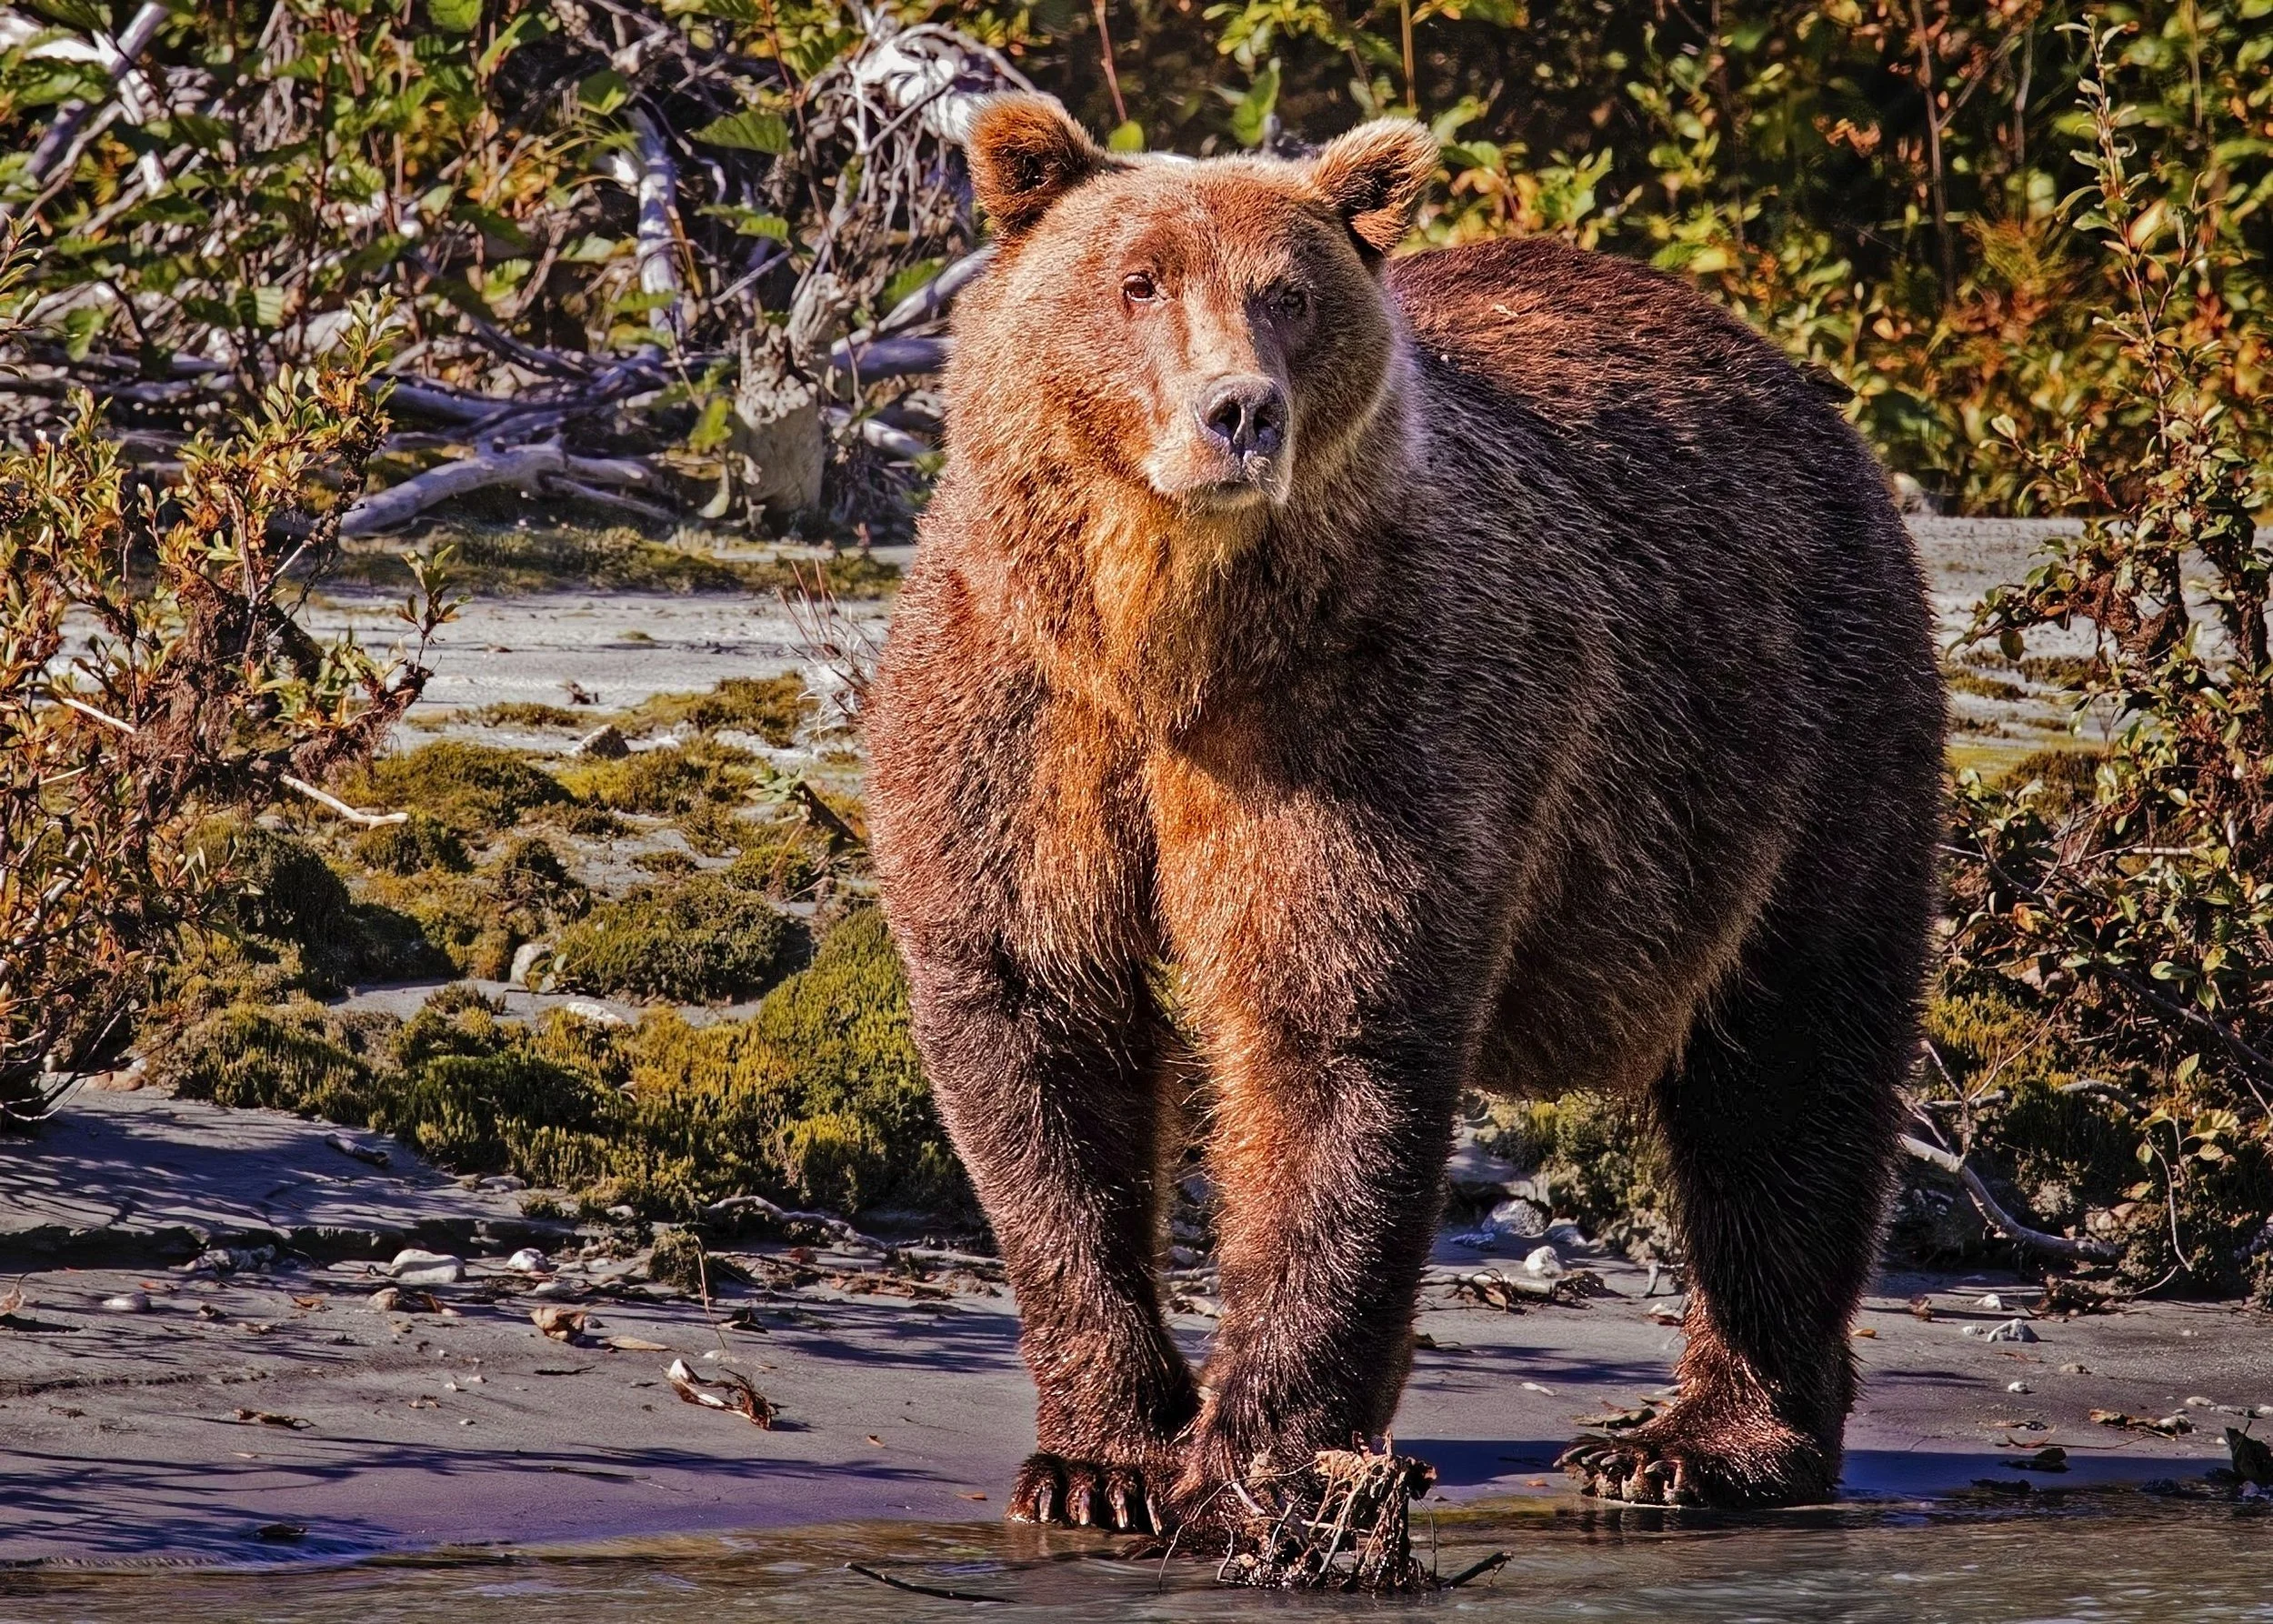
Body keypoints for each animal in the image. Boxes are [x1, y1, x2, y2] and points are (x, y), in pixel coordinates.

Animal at [864, 95, 1943, 1531]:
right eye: (1139, 281)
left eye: (1288, 293)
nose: (1240, 411)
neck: (1165, 638)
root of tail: (1786, 382)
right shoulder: (1021, 719)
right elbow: (1035, 1019)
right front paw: (1104, 1460)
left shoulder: (1364, 717)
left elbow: (1330, 1035)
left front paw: (1259, 1455)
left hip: (1804, 738)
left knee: (1787, 1071)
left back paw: (1695, 1440)